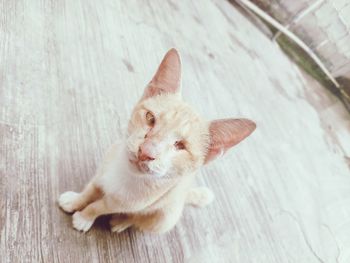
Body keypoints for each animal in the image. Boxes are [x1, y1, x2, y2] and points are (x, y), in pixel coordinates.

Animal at [56, 48, 254, 234]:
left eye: (180, 146)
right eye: (150, 118)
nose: (146, 151)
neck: (123, 173)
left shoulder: (124, 203)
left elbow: (99, 206)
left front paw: (84, 217)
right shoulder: (102, 173)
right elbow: (91, 189)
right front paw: (75, 200)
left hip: (164, 219)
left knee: (140, 220)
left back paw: (121, 222)